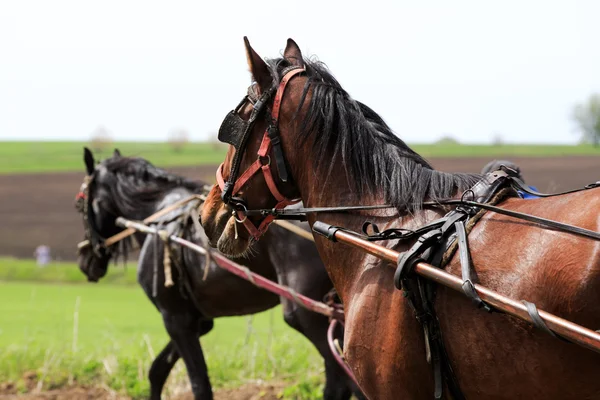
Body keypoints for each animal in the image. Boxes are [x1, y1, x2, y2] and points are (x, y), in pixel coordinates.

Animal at [75, 148, 366, 400]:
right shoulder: (197, 320)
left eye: (79, 204)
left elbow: (199, 384)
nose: (84, 261)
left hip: (306, 314)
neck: (160, 219)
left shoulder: (175, 319)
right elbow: (157, 371)